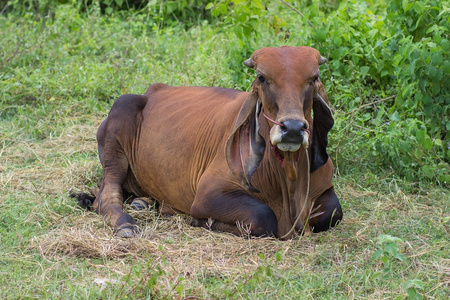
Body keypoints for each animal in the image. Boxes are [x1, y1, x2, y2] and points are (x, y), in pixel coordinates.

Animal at [86, 45, 342, 238]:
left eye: (314, 78)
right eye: (262, 78)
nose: (293, 129)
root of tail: (151, 92)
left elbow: (333, 213)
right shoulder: (209, 195)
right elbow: (263, 218)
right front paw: (198, 221)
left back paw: (143, 203)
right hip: (120, 116)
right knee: (105, 195)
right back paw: (125, 223)